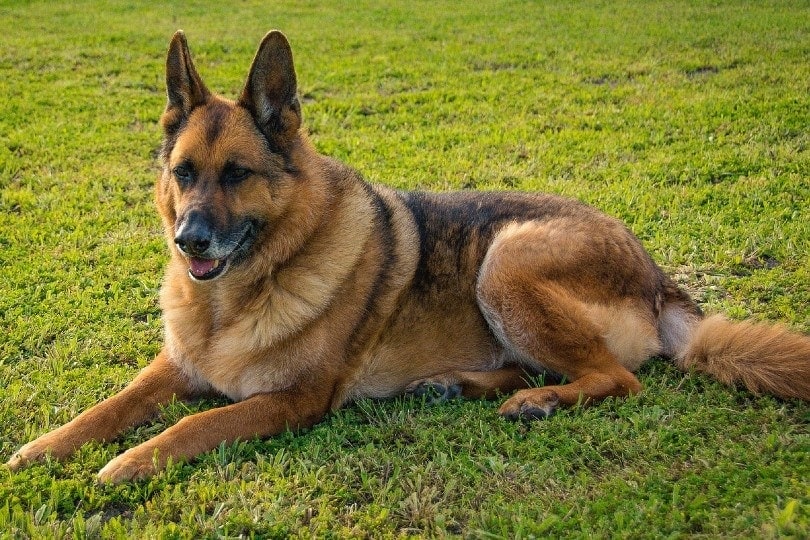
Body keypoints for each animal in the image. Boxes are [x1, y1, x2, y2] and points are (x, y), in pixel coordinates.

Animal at [7, 31, 808, 484]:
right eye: (183, 173)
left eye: (235, 174)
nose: (189, 241)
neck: (234, 299)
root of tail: (659, 279)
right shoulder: (173, 367)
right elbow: (110, 405)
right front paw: (45, 447)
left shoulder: (292, 400)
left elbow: (190, 426)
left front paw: (127, 464)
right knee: (550, 367)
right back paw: (463, 384)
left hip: (505, 263)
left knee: (617, 378)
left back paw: (538, 401)